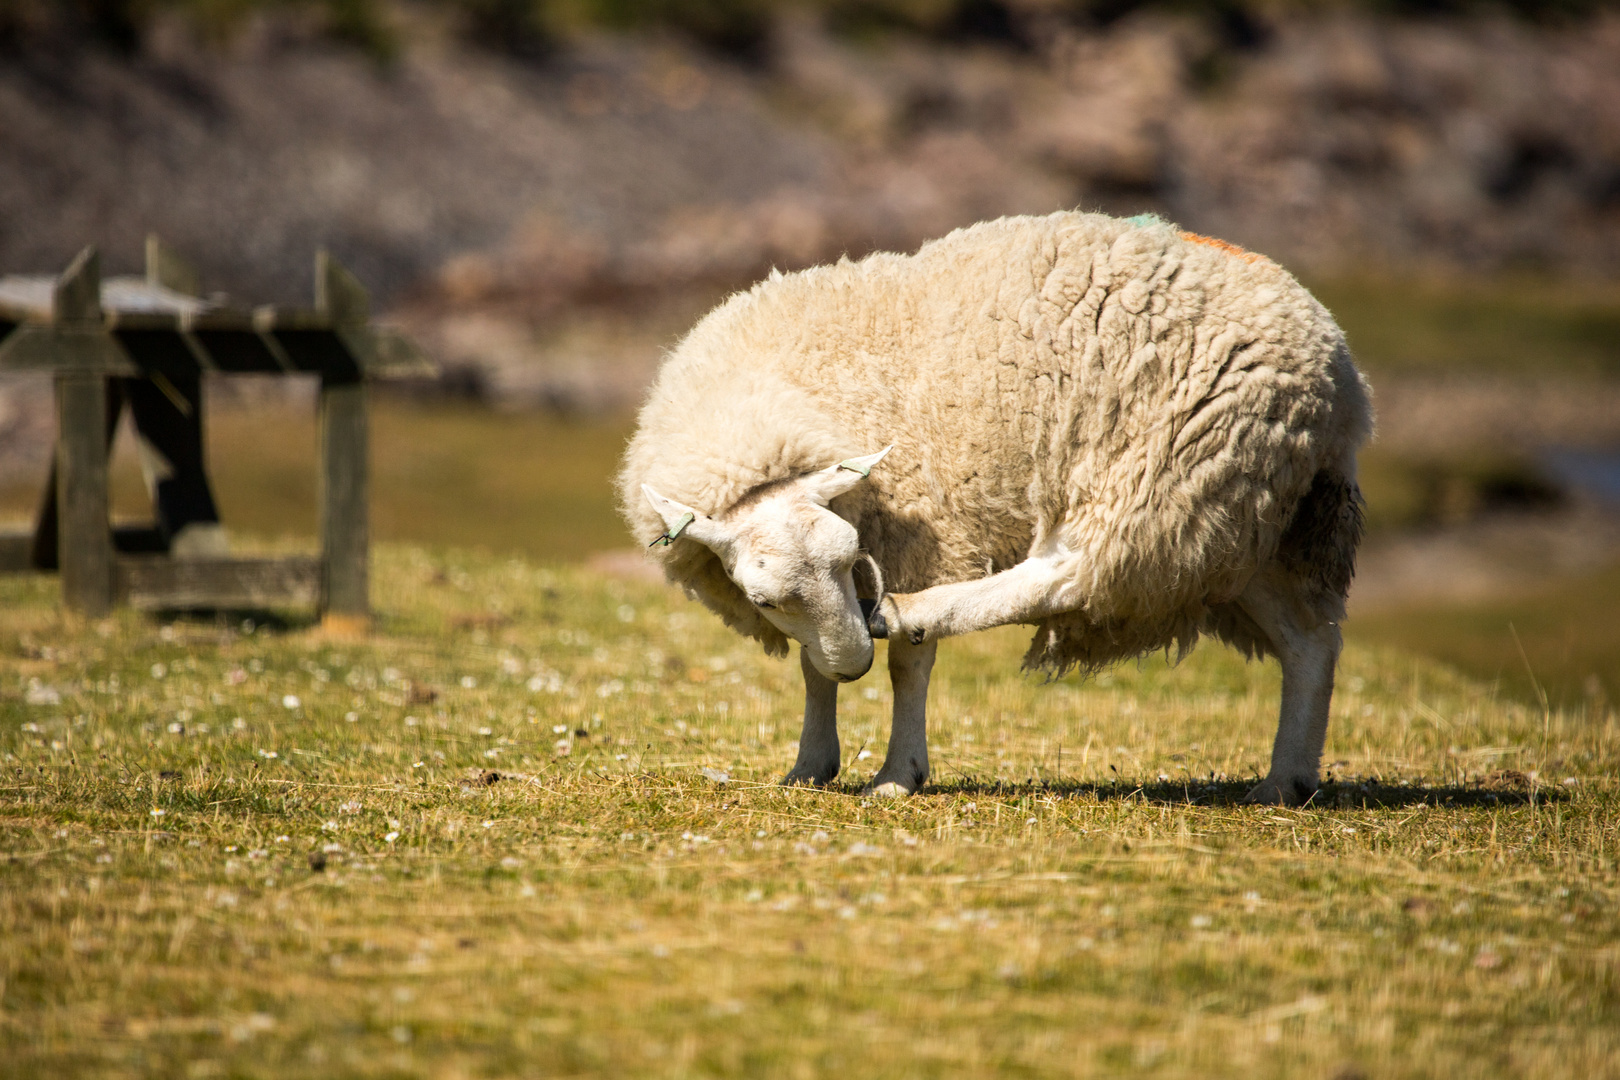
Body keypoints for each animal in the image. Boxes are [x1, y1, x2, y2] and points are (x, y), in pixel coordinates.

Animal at [615, 210, 1367, 806]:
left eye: (849, 553)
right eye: (763, 600)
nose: (854, 661)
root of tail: (1341, 378)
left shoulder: (926, 535)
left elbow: (907, 668)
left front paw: (898, 772)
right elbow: (811, 661)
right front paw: (812, 762)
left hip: (1170, 465)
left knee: (1068, 574)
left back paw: (914, 611)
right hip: (1243, 516)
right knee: (1310, 641)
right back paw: (1286, 781)